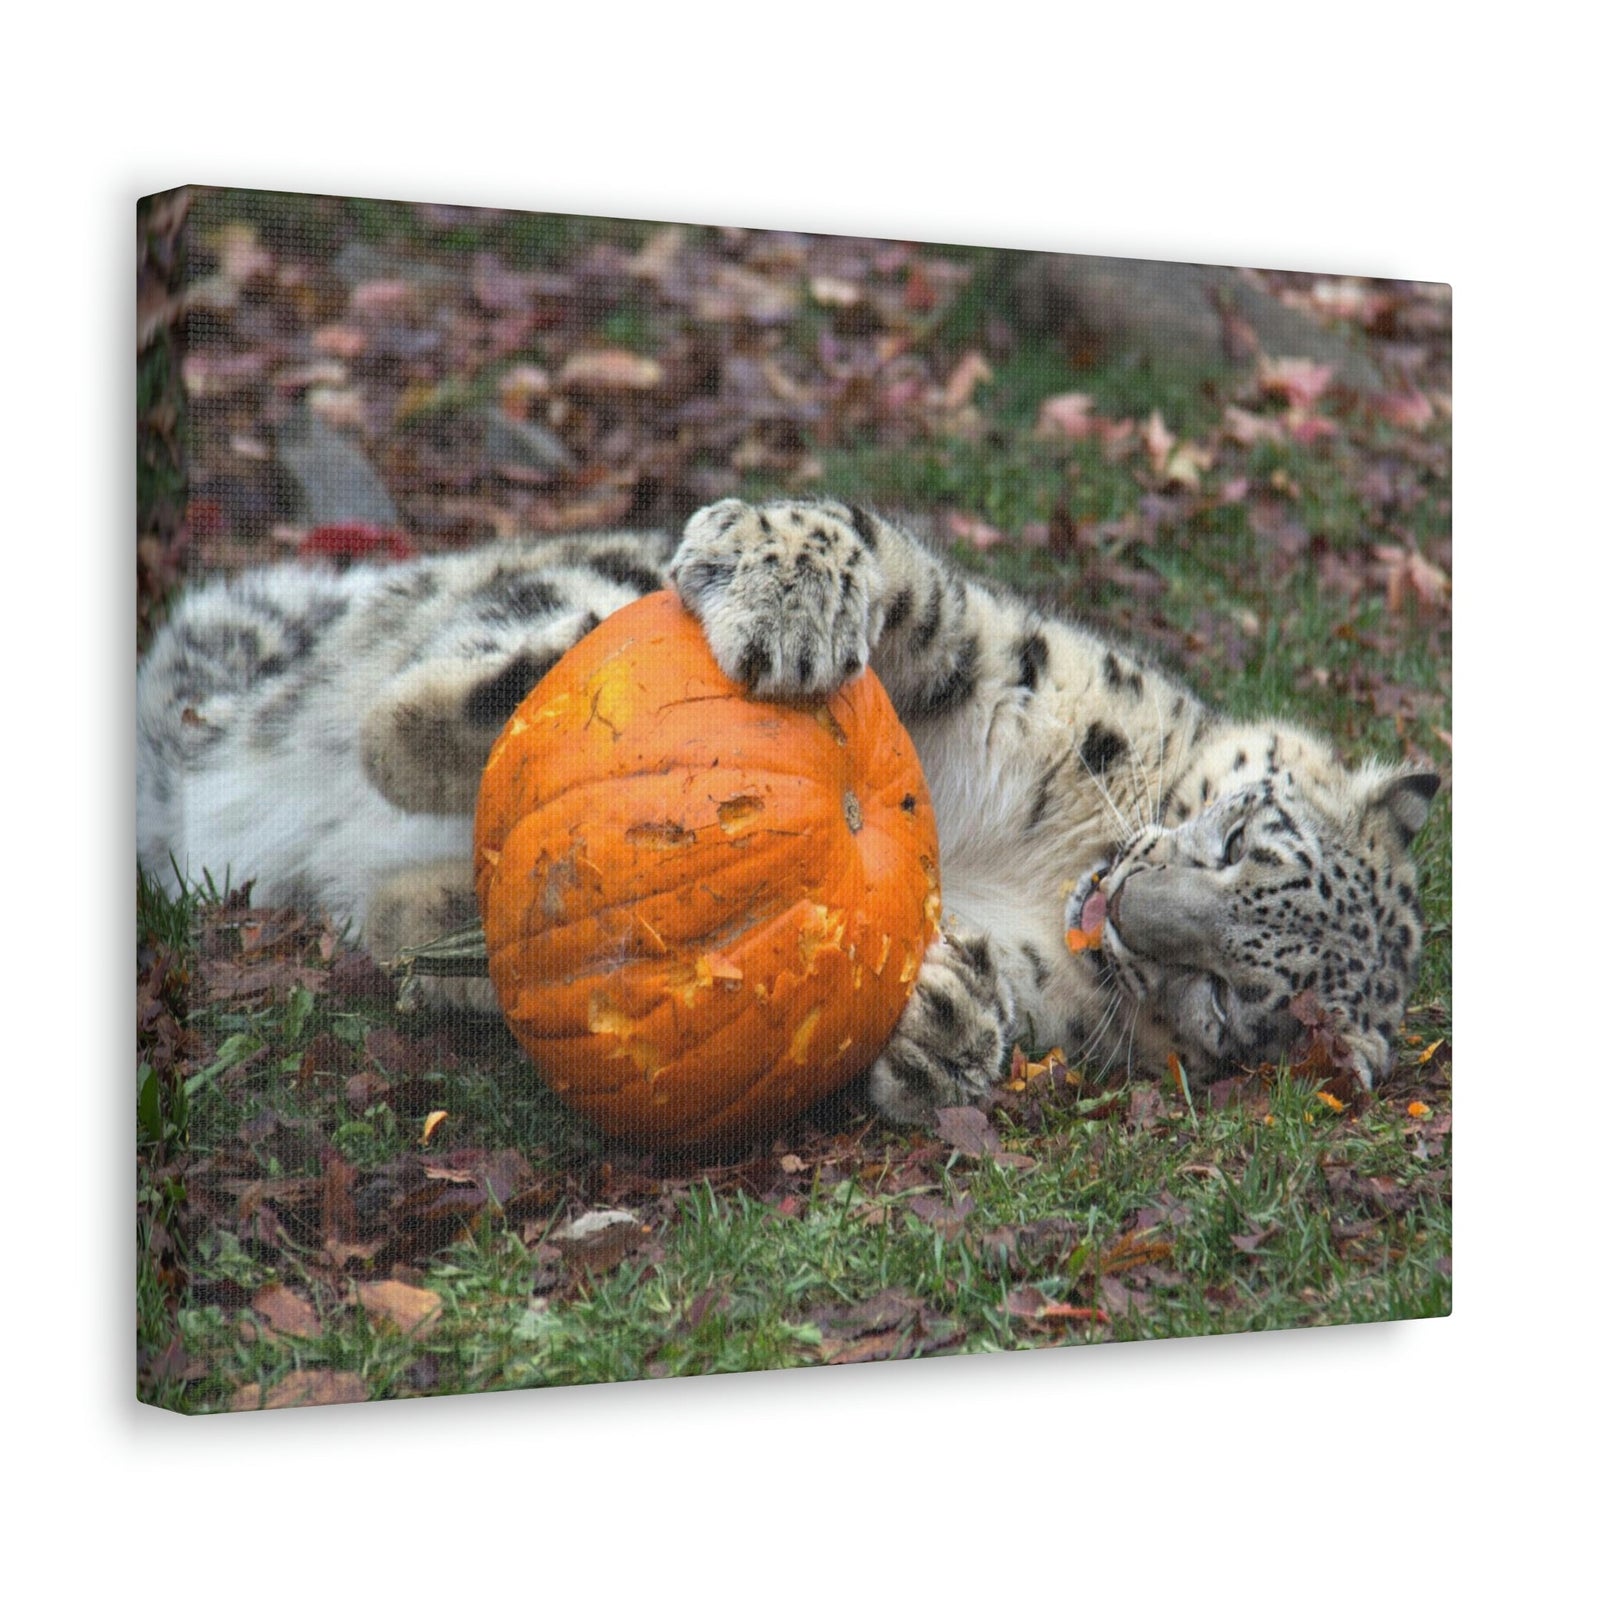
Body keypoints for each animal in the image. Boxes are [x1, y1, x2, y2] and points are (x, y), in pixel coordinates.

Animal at [137, 498, 1440, 1123]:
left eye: (1227, 996)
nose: (1127, 907)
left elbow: (1000, 990)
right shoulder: (1020, 664)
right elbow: (906, 582)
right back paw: (553, 670)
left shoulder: (1066, 987)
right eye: (1240, 833)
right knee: (425, 696)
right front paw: (789, 594)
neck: (1056, 847)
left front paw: (945, 1025)